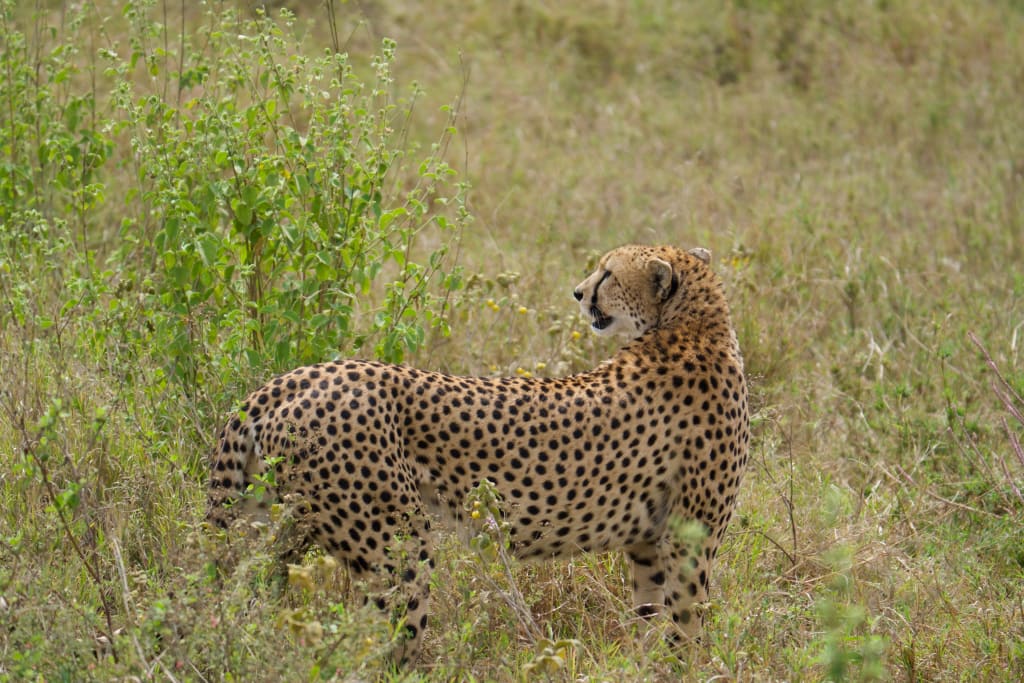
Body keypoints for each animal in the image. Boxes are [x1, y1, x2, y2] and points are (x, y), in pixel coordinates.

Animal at [206, 243, 750, 662]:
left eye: (609, 273)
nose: (578, 292)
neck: (693, 322)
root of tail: (293, 377)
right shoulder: (689, 537)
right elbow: (688, 620)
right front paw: (691, 668)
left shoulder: (650, 543)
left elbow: (653, 617)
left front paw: (652, 663)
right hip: (396, 546)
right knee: (375, 643)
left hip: (270, 527)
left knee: (249, 594)